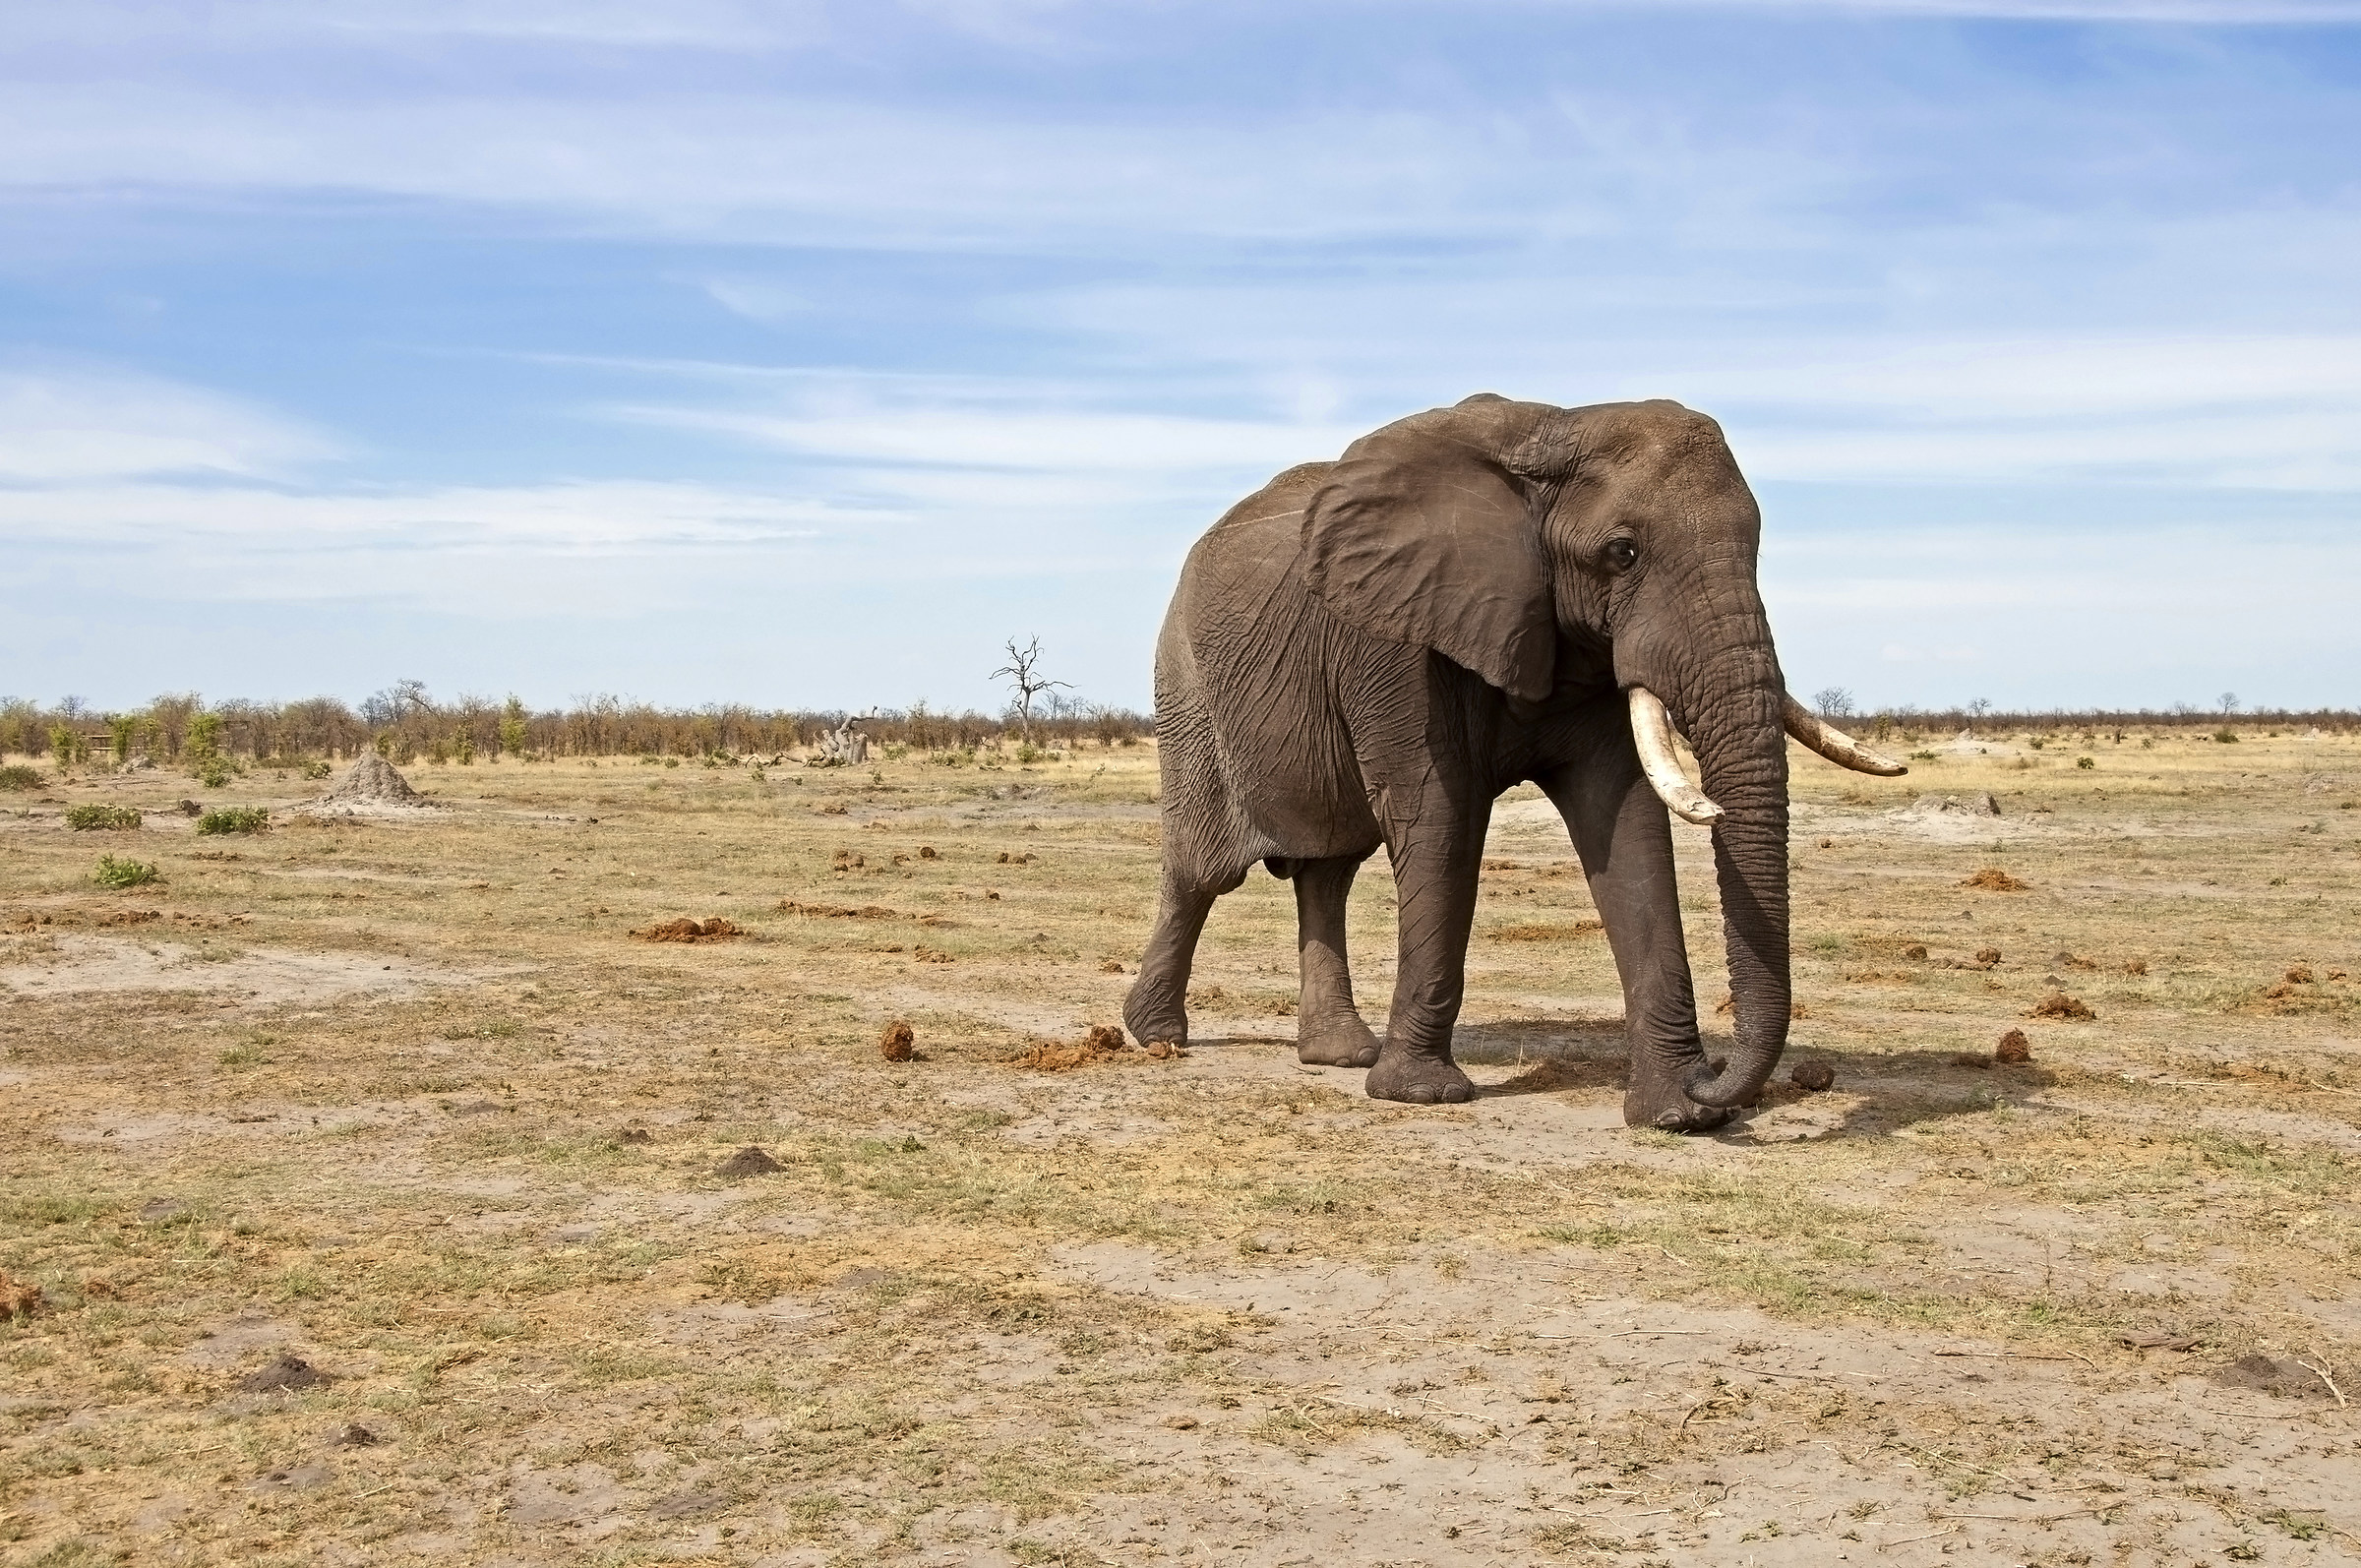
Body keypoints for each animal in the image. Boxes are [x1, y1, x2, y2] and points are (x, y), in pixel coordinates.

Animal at [1121, 394, 1904, 1130]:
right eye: (1622, 552)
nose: (1717, 1078)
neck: (1556, 429)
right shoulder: (1396, 639)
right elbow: (1438, 814)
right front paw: (1423, 1095)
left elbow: (1626, 824)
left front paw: (1679, 1114)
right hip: (1187, 691)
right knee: (1203, 872)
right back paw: (1158, 1037)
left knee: (1329, 869)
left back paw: (1340, 1054)